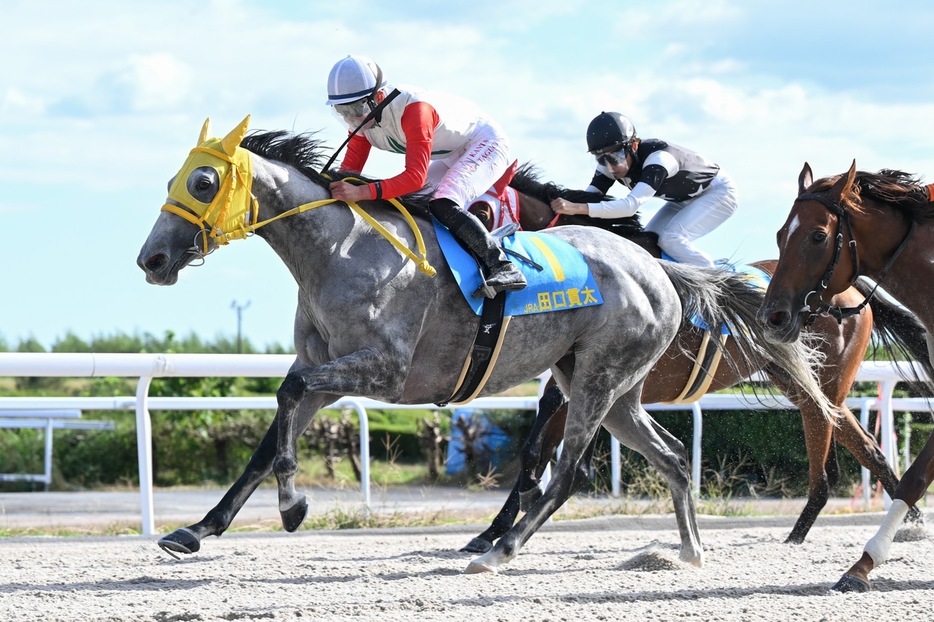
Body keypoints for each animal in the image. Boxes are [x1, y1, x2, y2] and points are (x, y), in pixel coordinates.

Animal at [137, 117, 832, 576]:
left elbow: (292, 395)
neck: (338, 251)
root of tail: (659, 270)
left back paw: (501, 549)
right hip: (610, 388)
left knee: (569, 469)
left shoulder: (383, 372)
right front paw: (198, 529)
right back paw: (688, 550)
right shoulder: (323, 364)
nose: (152, 259)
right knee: (672, 455)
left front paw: (294, 504)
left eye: (203, 182)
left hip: (598, 380)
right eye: (176, 177)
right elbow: (273, 425)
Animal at [464, 165, 932, 556]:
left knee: (840, 454)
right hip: (799, 381)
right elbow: (537, 447)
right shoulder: (573, 377)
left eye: (480, 211)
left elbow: (544, 449)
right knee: (865, 447)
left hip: (825, 383)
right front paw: (493, 531)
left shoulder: (590, 377)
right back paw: (893, 522)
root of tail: (852, 290)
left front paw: (500, 531)